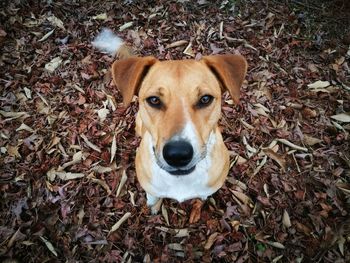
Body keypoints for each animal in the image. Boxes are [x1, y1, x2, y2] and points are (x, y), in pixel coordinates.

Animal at [91, 29, 247, 208]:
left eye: (205, 99)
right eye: (154, 100)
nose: (178, 155)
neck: (181, 180)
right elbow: (152, 196)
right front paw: (152, 207)